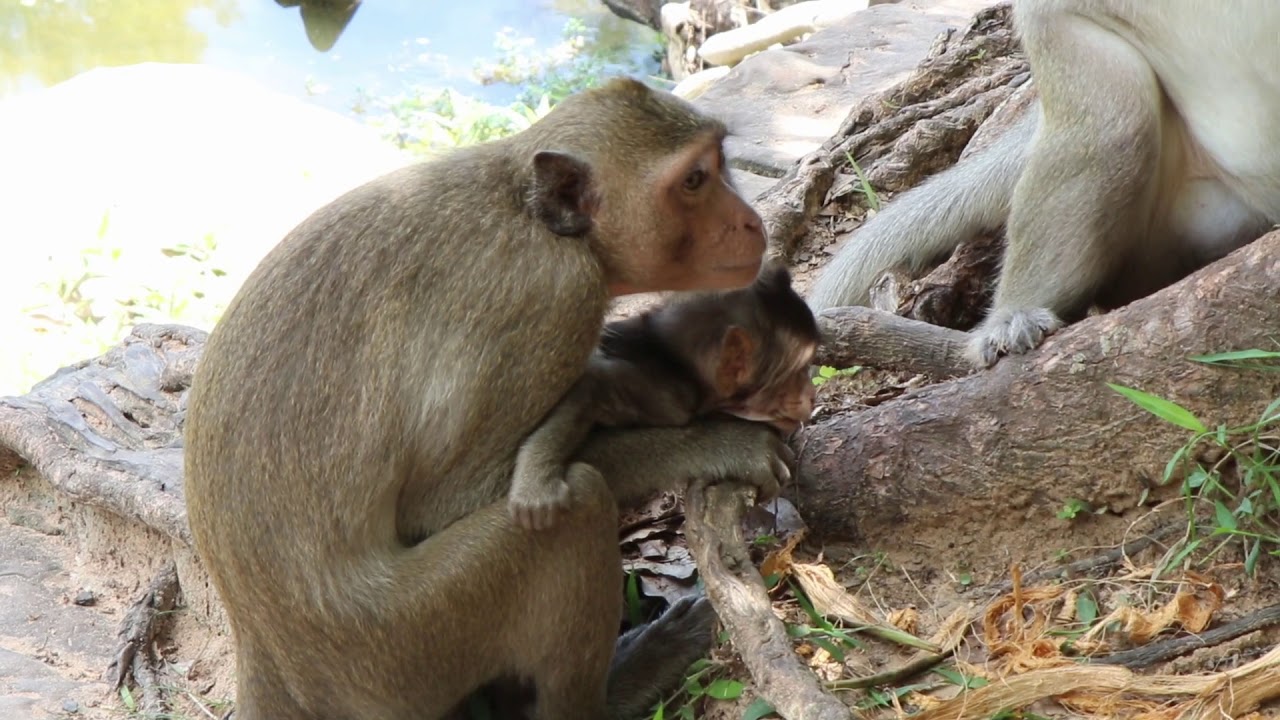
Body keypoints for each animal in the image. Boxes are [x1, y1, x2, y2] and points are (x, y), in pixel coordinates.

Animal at [509, 260, 820, 530]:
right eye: (798, 372)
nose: (812, 395)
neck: (681, 370)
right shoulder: (663, 394)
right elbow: (591, 386)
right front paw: (535, 482)